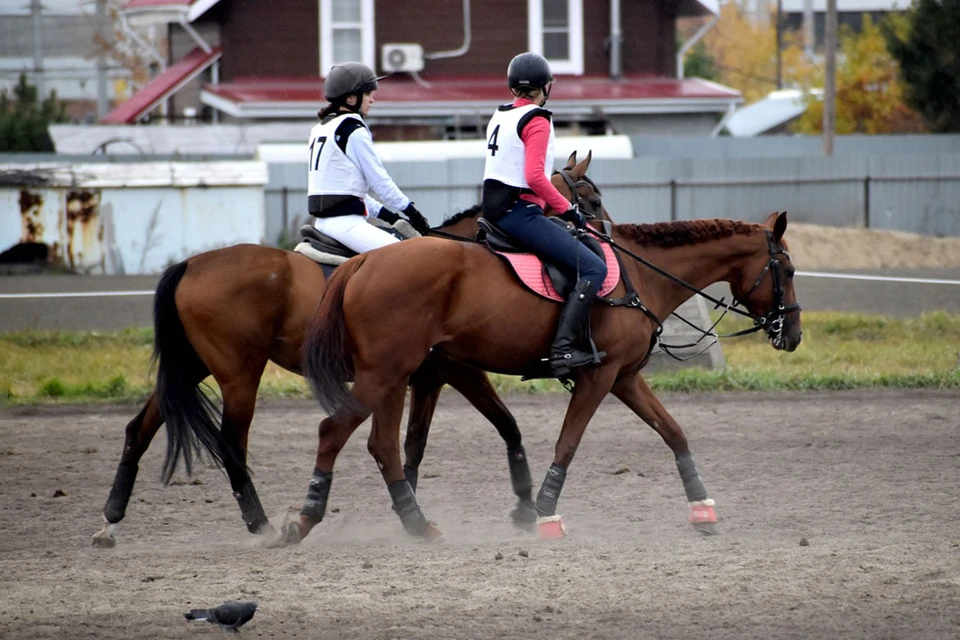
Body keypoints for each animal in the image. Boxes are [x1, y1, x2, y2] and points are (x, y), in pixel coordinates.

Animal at [88, 152, 600, 548]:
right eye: (591, 200)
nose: (604, 236)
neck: (465, 264)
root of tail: (192, 263)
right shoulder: (453, 370)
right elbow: (498, 426)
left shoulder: (422, 379)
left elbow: (413, 445)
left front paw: (410, 508)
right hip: (239, 374)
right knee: (231, 443)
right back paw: (261, 523)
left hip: (191, 368)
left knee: (139, 429)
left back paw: (110, 521)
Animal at [292, 212, 804, 544]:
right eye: (789, 268)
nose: (794, 334)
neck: (639, 276)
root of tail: (366, 260)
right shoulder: (599, 377)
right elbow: (568, 443)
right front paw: (545, 512)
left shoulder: (624, 378)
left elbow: (674, 433)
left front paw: (702, 507)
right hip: (385, 374)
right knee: (335, 431)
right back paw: (306, 518)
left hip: (394, 376)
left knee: (382, 446)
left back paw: (414, 523)